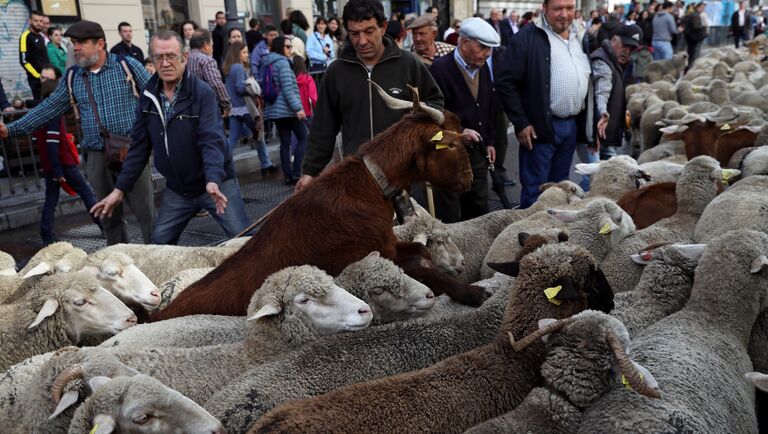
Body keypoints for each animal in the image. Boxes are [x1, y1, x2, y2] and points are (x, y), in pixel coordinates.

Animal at [151, 101, 486, 320]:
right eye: (453, 145)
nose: (471, 179)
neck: (368, 185)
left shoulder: (390, 243)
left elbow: (422, 252)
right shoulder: (367, 256)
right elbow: (420, 265)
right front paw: (472, 293)